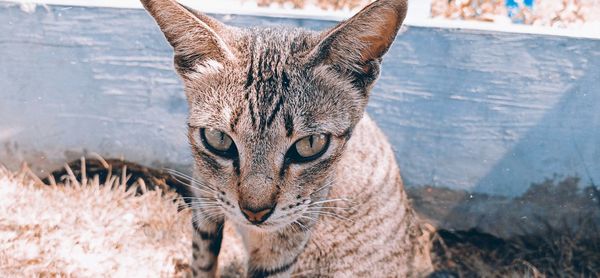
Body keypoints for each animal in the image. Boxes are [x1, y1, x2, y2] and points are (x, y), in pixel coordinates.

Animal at [140, 0, 432, 276]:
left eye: (310, 144)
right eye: (218, 139)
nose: (254, 211)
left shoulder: (285, 246)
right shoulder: (204, 205)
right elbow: (202, 263)